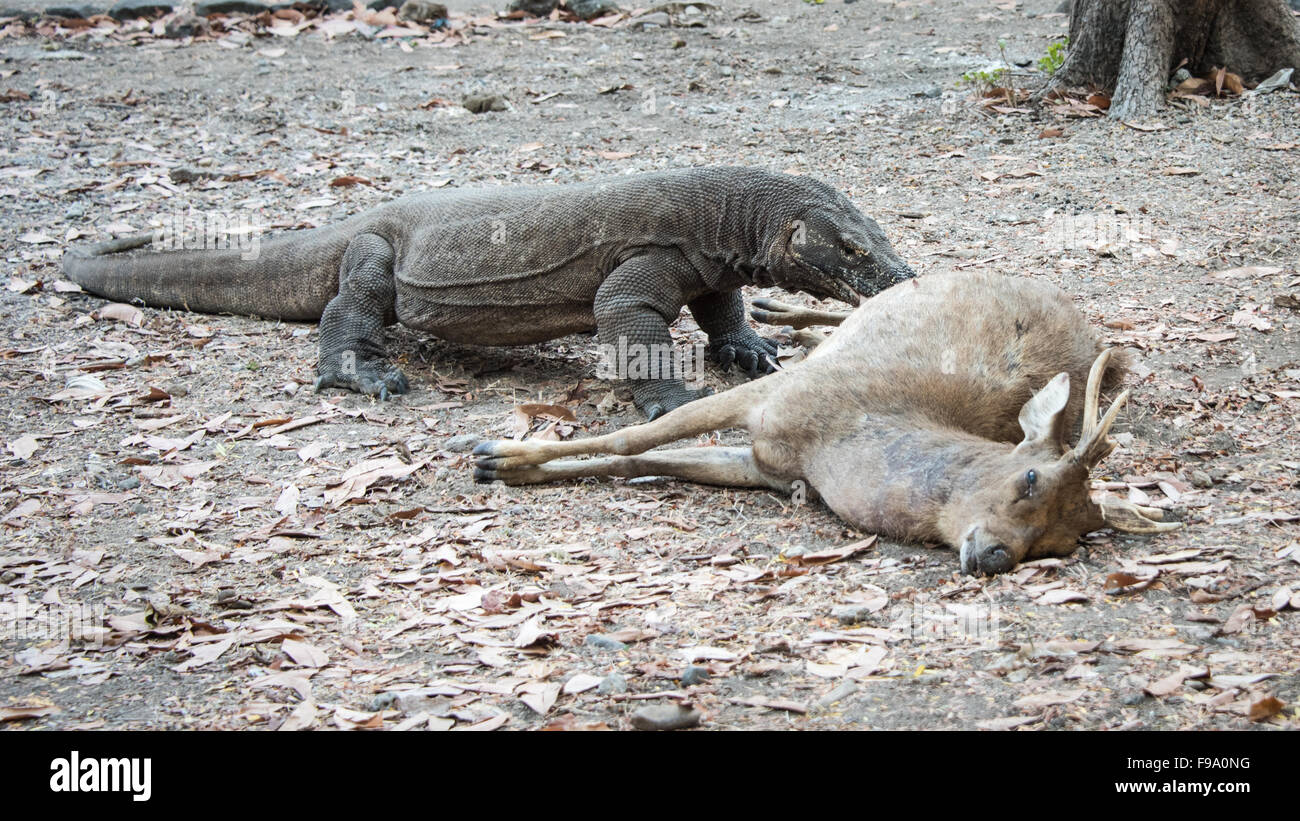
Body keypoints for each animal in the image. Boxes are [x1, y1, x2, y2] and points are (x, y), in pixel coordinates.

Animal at [475, 272, 1180, 574]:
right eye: (1030, 478)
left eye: (1065, 541)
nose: (995, 556)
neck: (829, 448)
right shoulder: (774, 396)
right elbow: (634, 435)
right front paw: (495, 454)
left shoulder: (765, 465)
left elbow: (641, 458)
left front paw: (510, 466)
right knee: (858, 298)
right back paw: (776, 309)